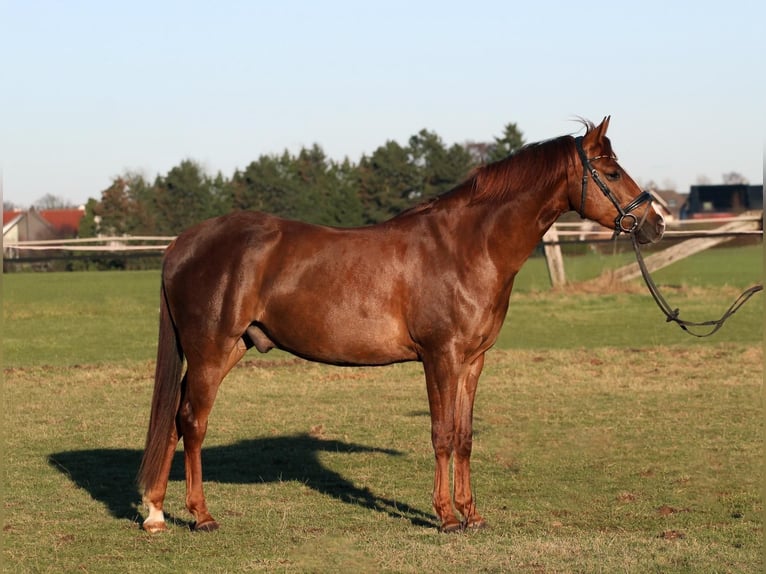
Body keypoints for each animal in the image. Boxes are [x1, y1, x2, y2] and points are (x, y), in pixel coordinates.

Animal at [138, 117, 665, 533]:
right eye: (611, 172)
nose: (655, 224)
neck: (467, 247)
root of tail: (183, 243)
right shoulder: (440, 357)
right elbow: (442, 433)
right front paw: (447, 517)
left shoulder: (472, 361)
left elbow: (465, 436)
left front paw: (472, 514)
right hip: (210, 351)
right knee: (193, 422)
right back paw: (201, 516)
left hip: (226, 350)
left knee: (176, 419)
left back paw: (156, 513)